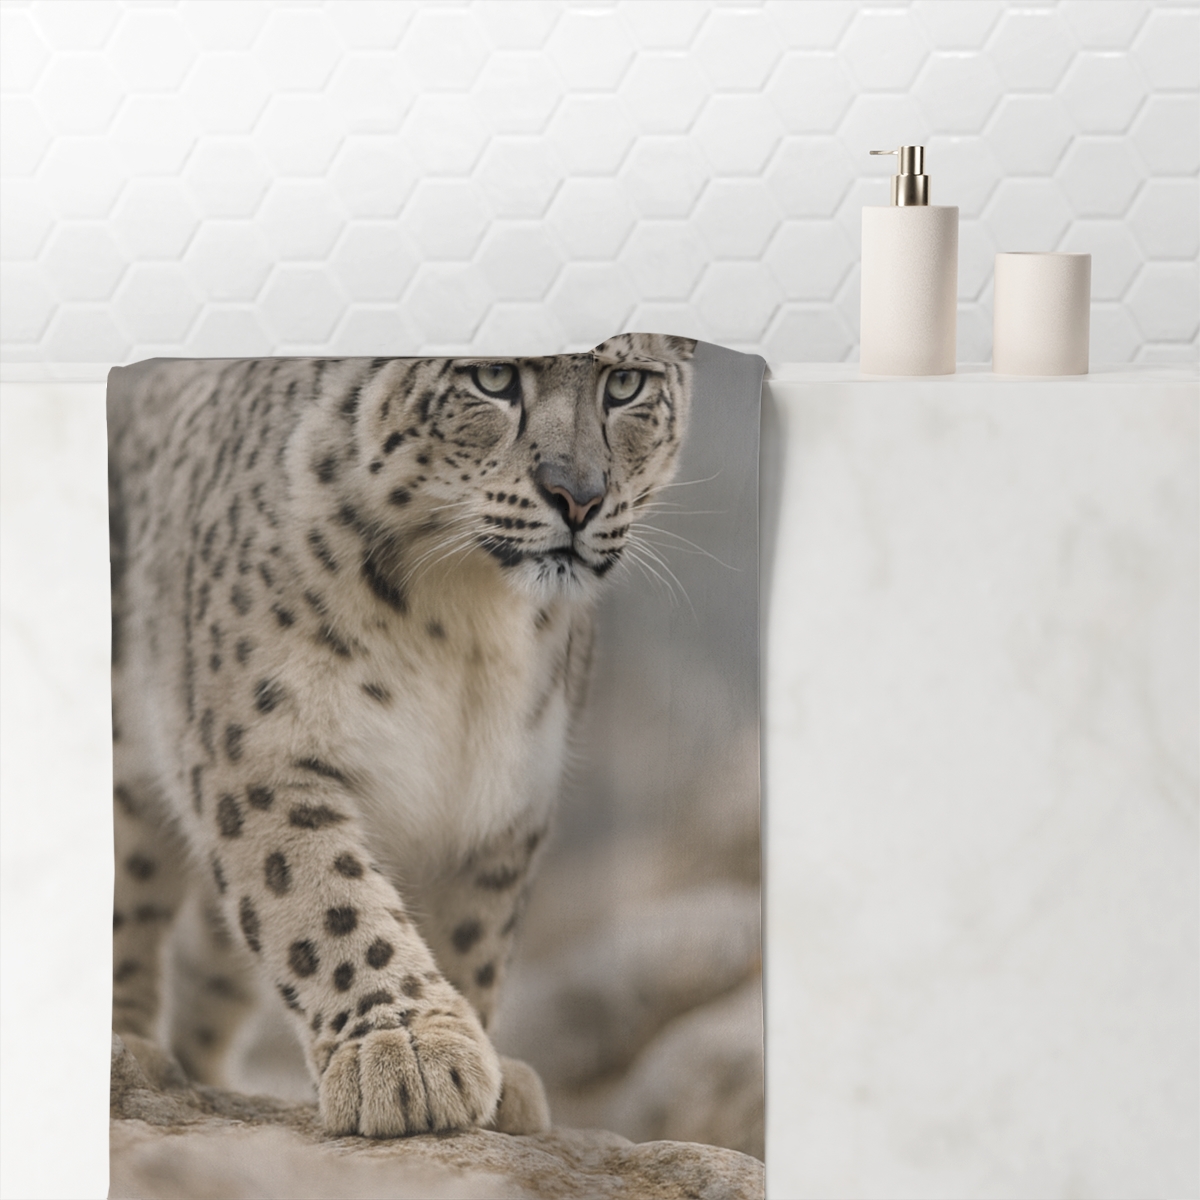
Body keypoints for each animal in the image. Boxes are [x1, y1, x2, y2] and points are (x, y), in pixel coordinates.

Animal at [107, 332, 696, 1138]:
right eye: (493, 377)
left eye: (627, 384)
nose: (579, 495)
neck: (468, 630)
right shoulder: (264, 747)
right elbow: (327, 896)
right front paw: (406, 1053)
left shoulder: (503, 797)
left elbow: (474, 930)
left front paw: (487, 1072)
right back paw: (125, 1050)